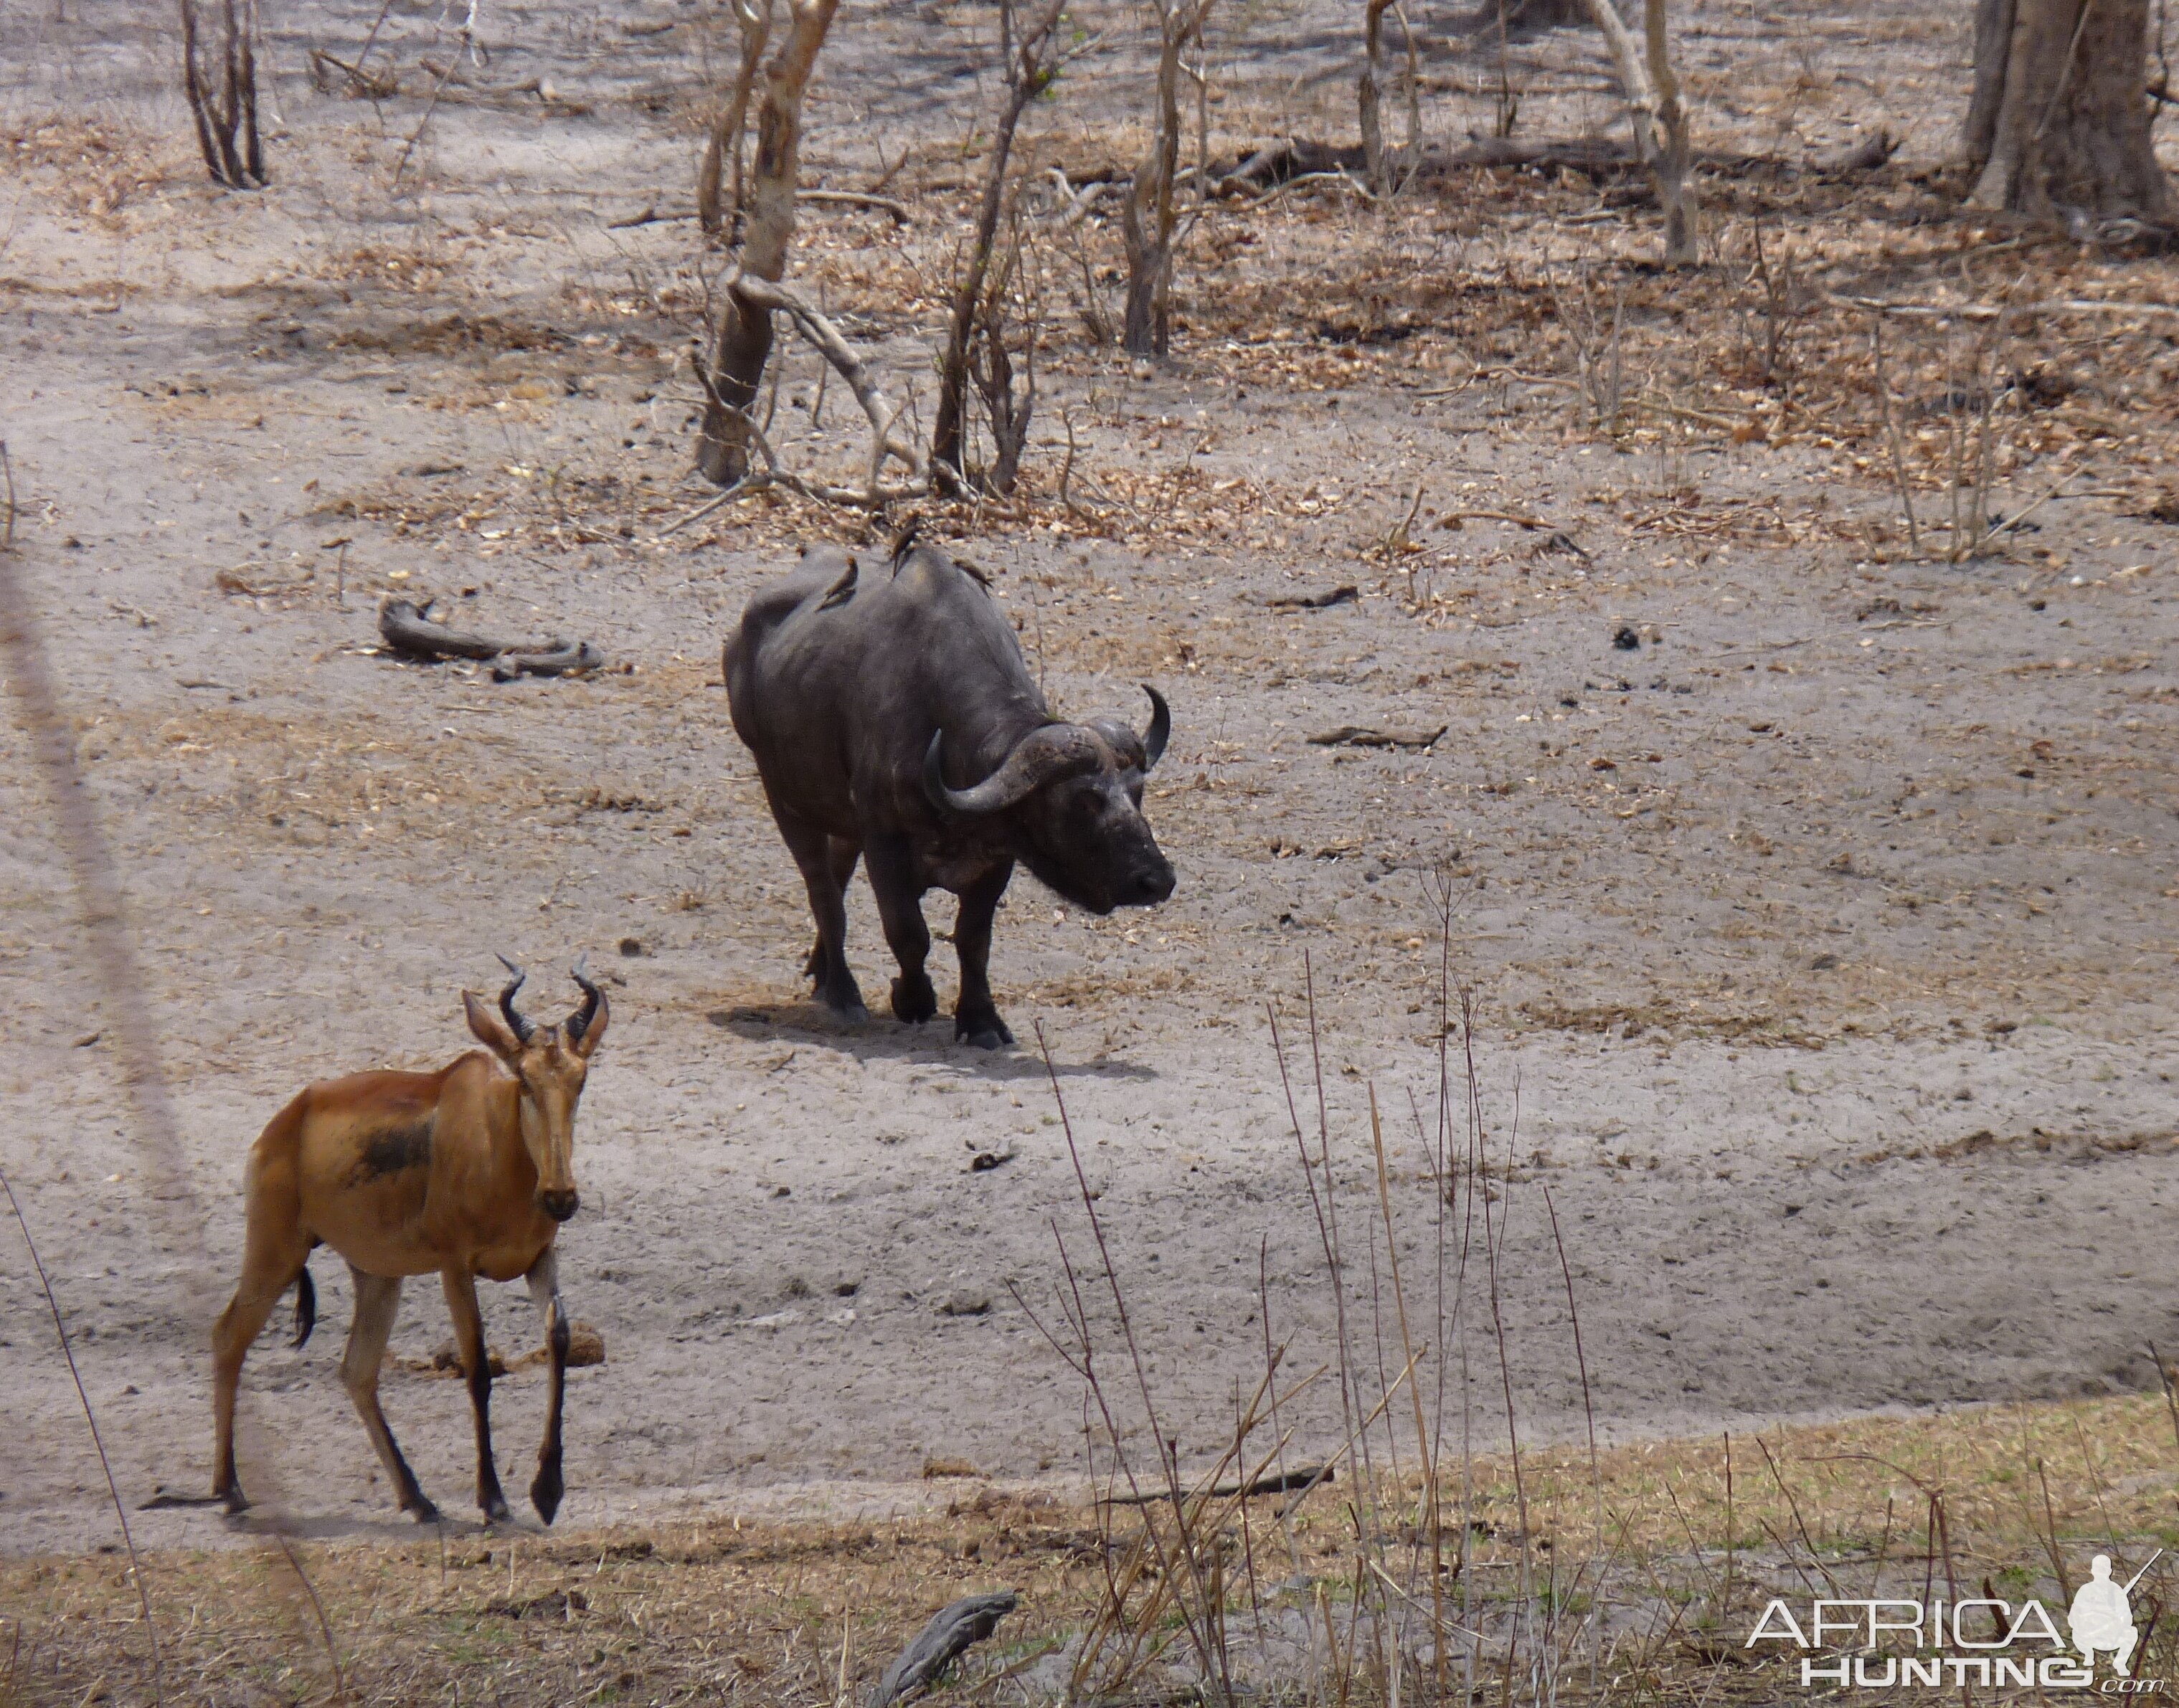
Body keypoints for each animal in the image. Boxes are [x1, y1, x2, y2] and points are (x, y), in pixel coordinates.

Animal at [727, 540, 1176, 1045]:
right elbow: (908, 932)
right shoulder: (883, 842)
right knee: (823, 892)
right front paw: (913, 999)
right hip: (784, 797)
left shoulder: (996, 859)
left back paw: (822, 973)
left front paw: (980, 1020)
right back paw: (842, 992)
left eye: (1138, 793)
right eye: (1082, 801)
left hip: (839, 817)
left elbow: (973, 940)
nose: (1156, 881)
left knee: (836, 878)